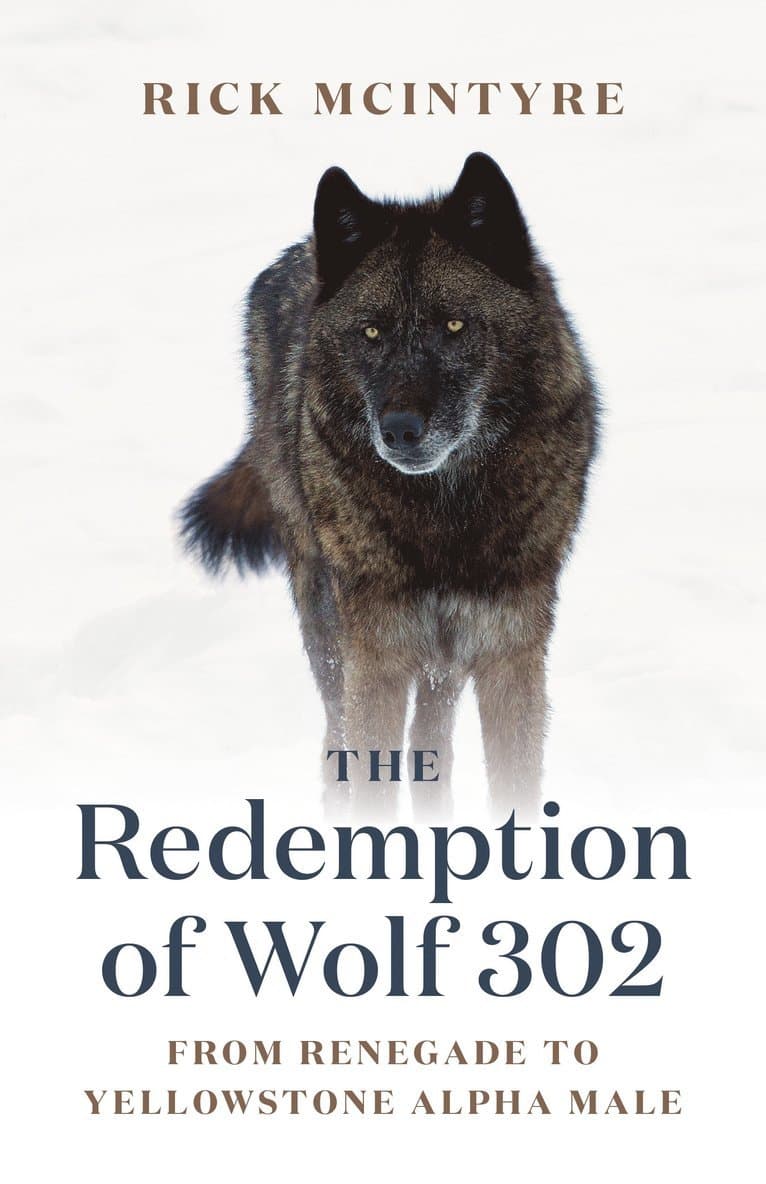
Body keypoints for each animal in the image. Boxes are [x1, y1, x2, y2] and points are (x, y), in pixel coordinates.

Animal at [180, 153, 598, 811]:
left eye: (454, 325)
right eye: (372, 333)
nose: (398, 429)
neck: (446, 519)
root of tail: (301, 249)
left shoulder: (510, 655)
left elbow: (512, 786)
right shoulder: (375, 659)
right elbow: (369, 775)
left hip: (442, 662)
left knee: (434, 741)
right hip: (329, 627)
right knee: (337, 741)